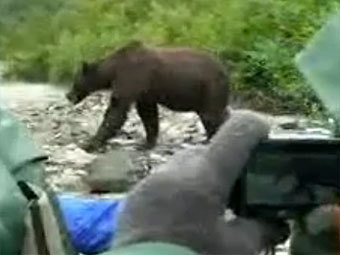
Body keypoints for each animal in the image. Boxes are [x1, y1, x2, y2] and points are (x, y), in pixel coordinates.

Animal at [66, 40, 231, 150]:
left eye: (75, 80)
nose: (68, 95)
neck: (113, 69)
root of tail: (225, 69)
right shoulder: (146, 92)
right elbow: (148, 113)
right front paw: (147, 142)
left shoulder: (132, 77)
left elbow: (117, 109)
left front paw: (90, 143)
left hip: (209, 88)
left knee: (211, 115)